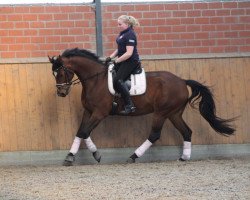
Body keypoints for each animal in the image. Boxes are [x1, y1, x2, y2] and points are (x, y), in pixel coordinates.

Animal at [48, 47, 234, 166]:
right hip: (174, 113)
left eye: (62, 72)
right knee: (187, 132)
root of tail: (182, 81)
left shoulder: (100, 113)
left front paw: (94, 155)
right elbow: (81, 132)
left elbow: (85, 132)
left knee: (154, 135)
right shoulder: (89, 112)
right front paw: (71, 156)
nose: (61, 92)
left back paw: (133, 156)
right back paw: (184, 158)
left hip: (161, 113)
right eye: (54, 74)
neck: (95, 79)